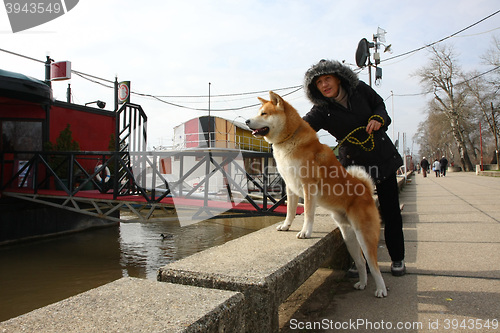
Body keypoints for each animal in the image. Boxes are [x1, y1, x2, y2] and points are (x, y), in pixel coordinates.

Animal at [246, 91, 386, 298]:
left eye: (264, 113)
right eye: (258, 112)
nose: (247, 121)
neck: (289, 139)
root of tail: (366, 191)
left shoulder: (308, 187)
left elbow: (308, 214)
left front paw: (305, 232)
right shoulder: (290, 187)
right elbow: (290, 211)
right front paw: (286, 226)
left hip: (364, 234)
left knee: (373, 264)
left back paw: (381, 289)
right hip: (349, 236)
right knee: (361, 262)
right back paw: (362, 283)